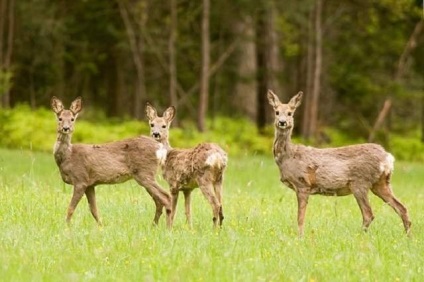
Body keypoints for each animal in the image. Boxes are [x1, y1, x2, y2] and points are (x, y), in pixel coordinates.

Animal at [51, 96, 172, 228]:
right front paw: (101, 227)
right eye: (60, 118)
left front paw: (66, 227)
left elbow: (70, 208)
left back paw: (168, 228)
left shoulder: (80, 179)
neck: (68, 156)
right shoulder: (90, 184)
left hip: (145, 172)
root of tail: (160, 148)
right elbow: (94, 210)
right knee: (159, 200)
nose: (66, 128)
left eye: (72, 119)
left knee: (166, 197)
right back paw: (155, 225)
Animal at [268, 90, 410, 236]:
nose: (282, 122)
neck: (288, 156)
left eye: (290, 113)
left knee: (368, 214)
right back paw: (408, 236)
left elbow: (300, 217)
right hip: (380, 183)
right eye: (276, 112)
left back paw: (359, 235)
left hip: (360, 183)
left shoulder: (302, 184)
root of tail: (388, 158)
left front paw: (300, 236)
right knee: (401, 208)